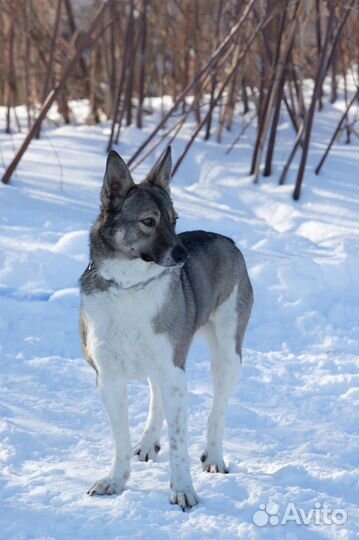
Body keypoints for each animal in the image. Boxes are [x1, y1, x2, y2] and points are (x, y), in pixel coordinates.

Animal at [79, 148, 253, 510]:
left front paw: (183, 489)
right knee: (155, 395)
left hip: (227, 354)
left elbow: (179, 442)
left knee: (218, 410)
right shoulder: (109, 377)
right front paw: (116, 481)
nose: (183, 255)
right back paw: (148, 442)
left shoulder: (174, 374)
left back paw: (214, 456)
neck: (129, 287)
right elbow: (120, 438)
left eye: (175, 220)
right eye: (149, 221)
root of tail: (227, 239)